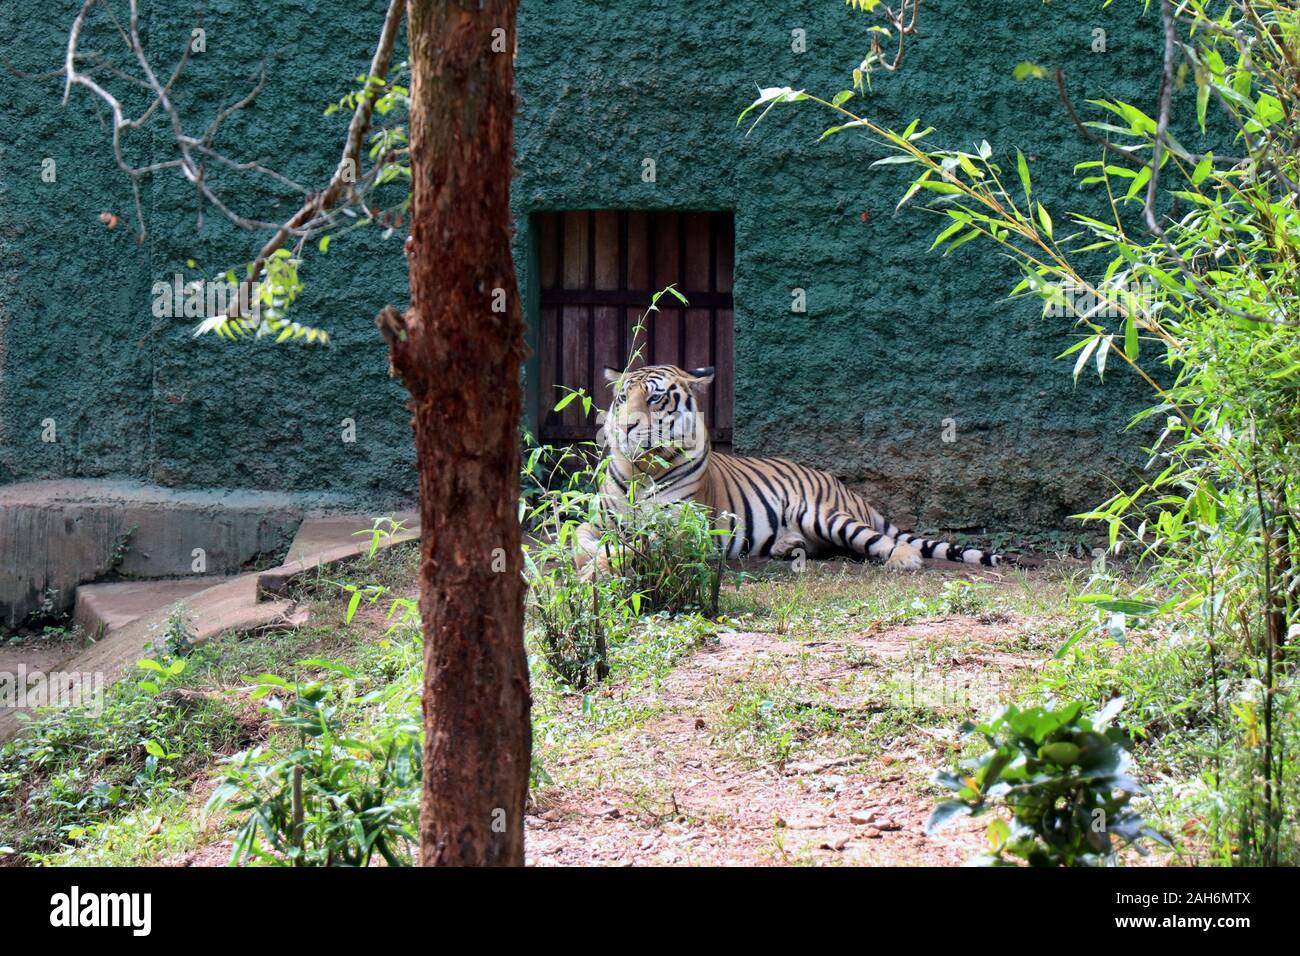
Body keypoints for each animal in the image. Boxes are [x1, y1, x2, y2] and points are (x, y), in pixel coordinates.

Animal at [579, 363, 1011, 570]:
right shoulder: (596, 522)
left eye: (655, 399)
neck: (640, 471)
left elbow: (634, 545)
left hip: (824, 515)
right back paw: (787, 546)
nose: (625, 426)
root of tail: (849, 490)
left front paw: (601, 565)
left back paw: (905, 559)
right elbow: (578, 542)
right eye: (622, 399)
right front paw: (588, 561)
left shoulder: (681, 528)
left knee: (880, 540)